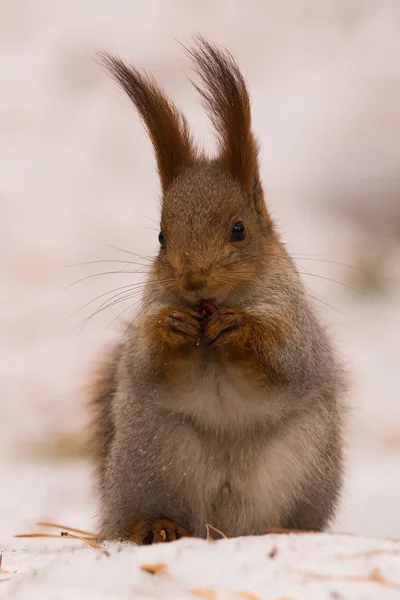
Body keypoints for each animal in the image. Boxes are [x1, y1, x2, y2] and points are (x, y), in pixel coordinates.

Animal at [89, 36, 346, 544]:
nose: (194, 281)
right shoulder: (150, 321)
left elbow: (285, 362)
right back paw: (157, 526)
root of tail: (221, 528)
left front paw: (239, 329)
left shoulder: (293, 319)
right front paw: (173, 326)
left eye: (239, 229)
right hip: (146, 456)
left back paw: (284, 532)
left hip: (304, 463)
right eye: (161, 237)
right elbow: (150, 363)